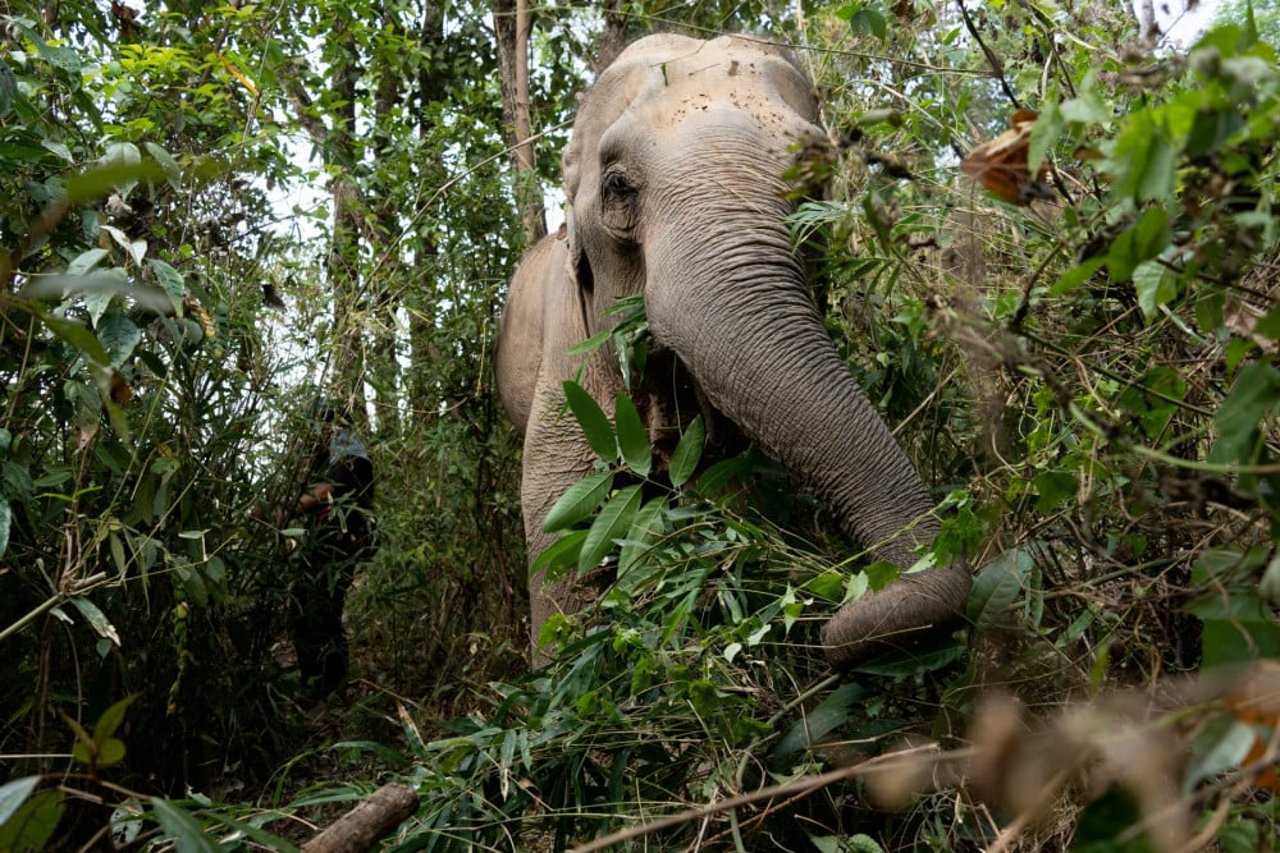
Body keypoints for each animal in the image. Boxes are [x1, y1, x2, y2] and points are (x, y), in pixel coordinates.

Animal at [499, 33, 967, 666]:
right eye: (618, 185)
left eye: (815, 189)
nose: (836, 621)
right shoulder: (570, 362)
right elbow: (557, 515)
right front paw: (561, 672)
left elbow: (724, 498)